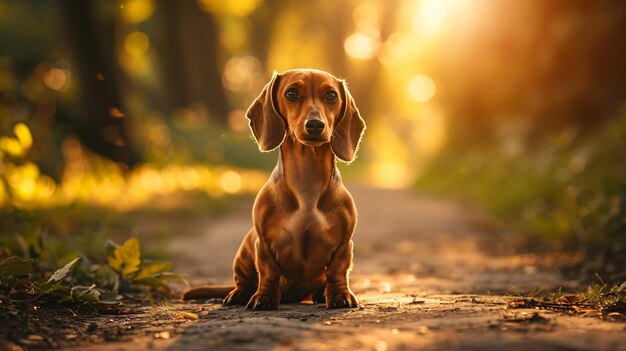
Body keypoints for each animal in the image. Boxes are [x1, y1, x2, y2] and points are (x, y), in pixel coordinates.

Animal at [180, 69, 364, 310]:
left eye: (332, 96)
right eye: (292, 93)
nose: (315, 125)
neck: (307, 182)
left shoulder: (344, 244)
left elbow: (337, 271)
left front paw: (339, 295)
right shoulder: (264, 243)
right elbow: (268, 271)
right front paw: (264, 297)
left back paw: (319, 294)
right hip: (244, 251)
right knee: (243, 281)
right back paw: (239, 294)